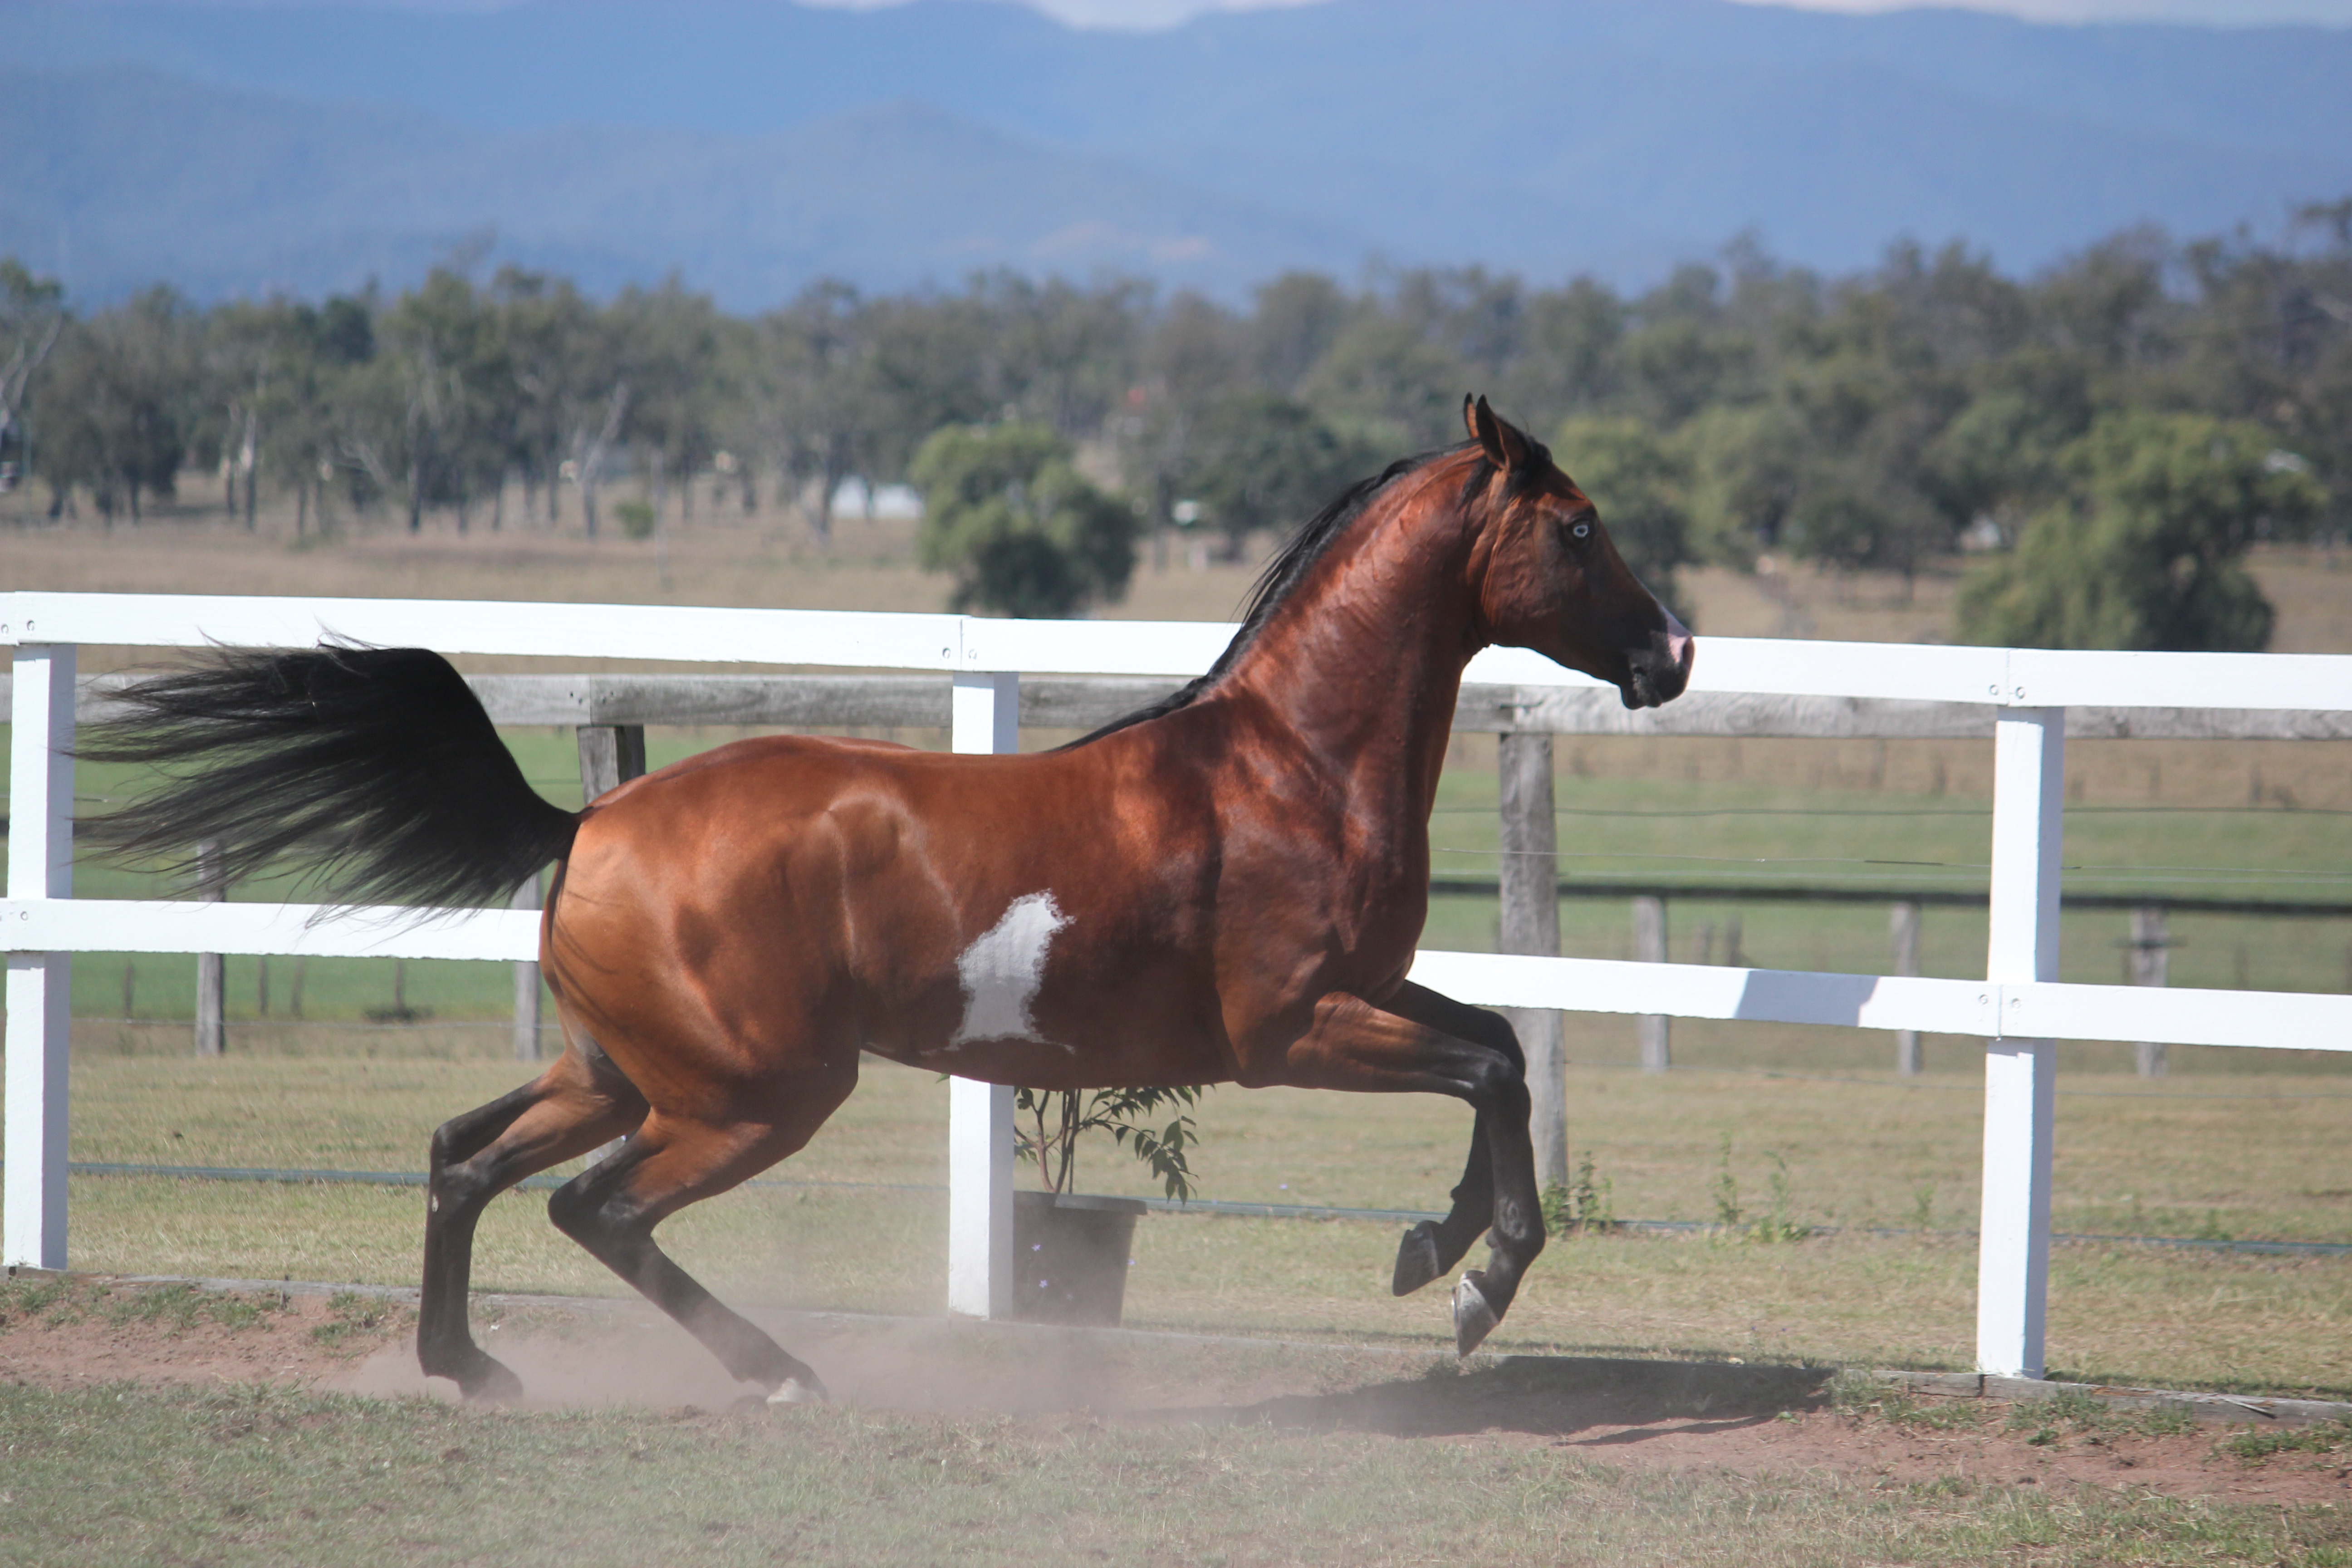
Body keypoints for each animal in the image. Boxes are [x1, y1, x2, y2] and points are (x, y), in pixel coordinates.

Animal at [78, 399, 1693, 1401]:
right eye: (1578, 527)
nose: (1672, 651)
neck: (1289, 764)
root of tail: (592, 821)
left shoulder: (1365, 991)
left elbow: (1498, 1044)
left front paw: (1436, 1248)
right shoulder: (1292, 1031)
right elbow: (1492, 1069)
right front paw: (1472, 1277)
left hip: (616, 1073)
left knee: (462, 1160)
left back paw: (471, 1369)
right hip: (753, 1098)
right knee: (596, 1212)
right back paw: (779, 1371)